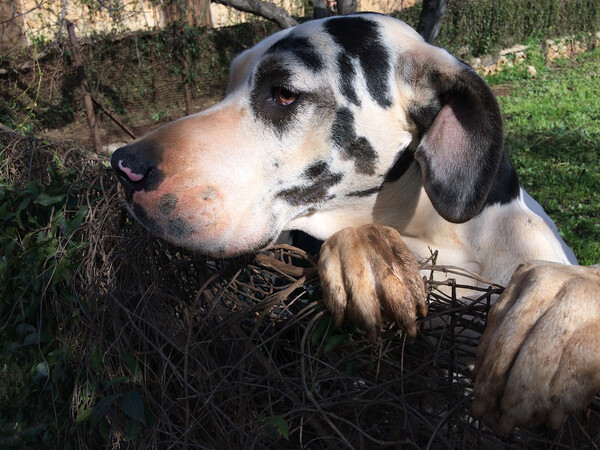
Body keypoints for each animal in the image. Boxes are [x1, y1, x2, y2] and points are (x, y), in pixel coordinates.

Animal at [110, 12, 596, 430]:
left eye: (284, 92)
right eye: (229, 85)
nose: (122, 165)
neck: (442, 236)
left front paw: (558, 312)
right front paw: (366, 252)